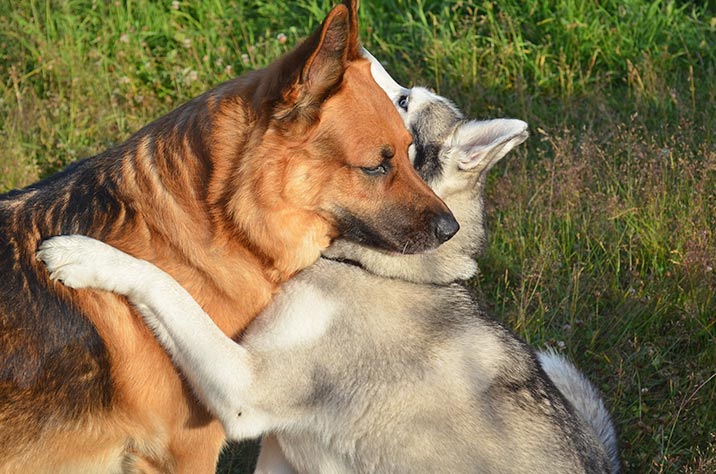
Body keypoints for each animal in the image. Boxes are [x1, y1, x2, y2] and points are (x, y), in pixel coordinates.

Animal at [39, 52, 620, 474]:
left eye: (402, 100)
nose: (359, 50)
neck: (377, 267)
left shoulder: (247, 391)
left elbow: (166, 286)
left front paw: (87, 255)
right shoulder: (281, 448)